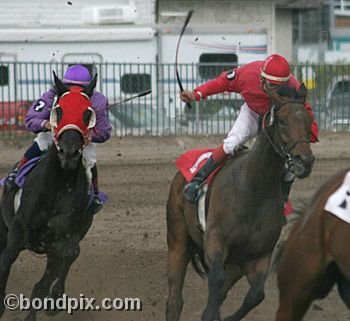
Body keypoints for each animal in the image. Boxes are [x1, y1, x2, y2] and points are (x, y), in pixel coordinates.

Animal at [165, 84, 316, 320]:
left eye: (309, 120)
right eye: (283, 120)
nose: (305, 161)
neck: (253, 190)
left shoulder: (259, 255)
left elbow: (256, 294)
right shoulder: (216, 241)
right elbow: (216, 280)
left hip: (235, 263)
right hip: (178, 241)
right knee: (174, 300)